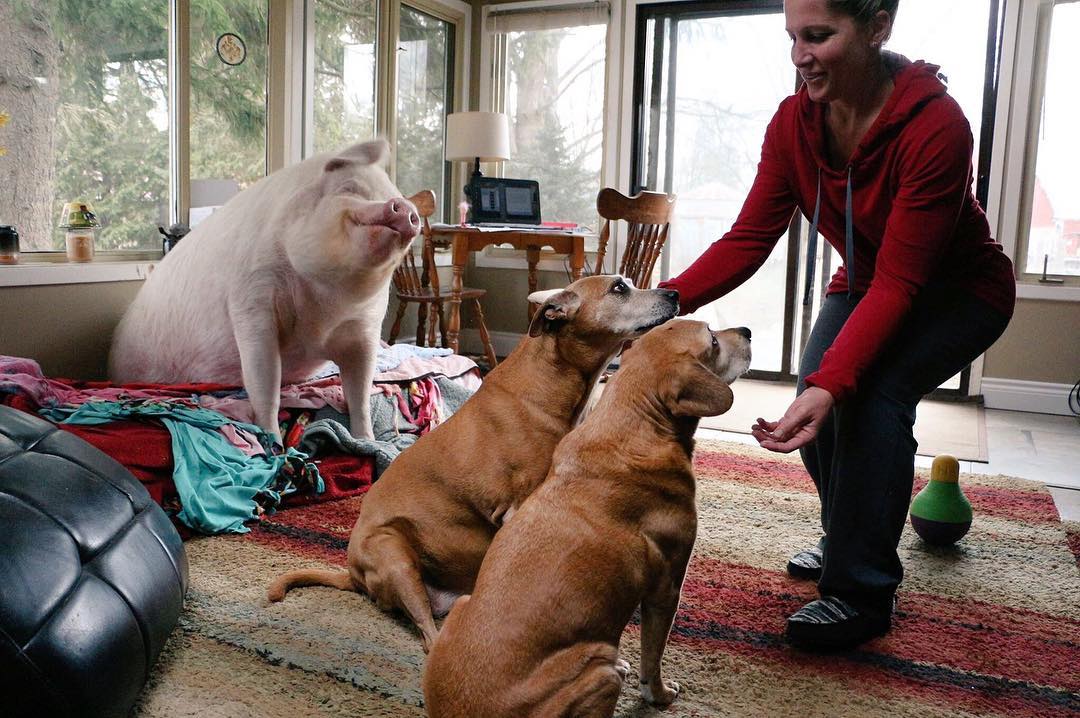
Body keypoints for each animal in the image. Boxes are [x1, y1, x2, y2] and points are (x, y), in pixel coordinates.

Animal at [109, 137, 419, 440]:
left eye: (389, 192)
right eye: (349, 188)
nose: (404, 207)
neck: (325, 308)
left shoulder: (365, 326)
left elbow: (361, 392)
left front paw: (366, 441)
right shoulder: (252, 300)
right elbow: (265, 382)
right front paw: (273, 441)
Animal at [267, 274, 673, 647]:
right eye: (619, 288)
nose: (673, 293)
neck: (554, 383)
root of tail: (353, 575)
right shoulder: (517, 506)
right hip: (394, 555)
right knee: (428, 635)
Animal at [421, 319, 751, 716]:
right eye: (713, 341)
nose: (748, 331)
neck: (633, 421)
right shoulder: (668, 587)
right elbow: (653, 657)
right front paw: (659, 695)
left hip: (463, 604)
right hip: (599, 670)